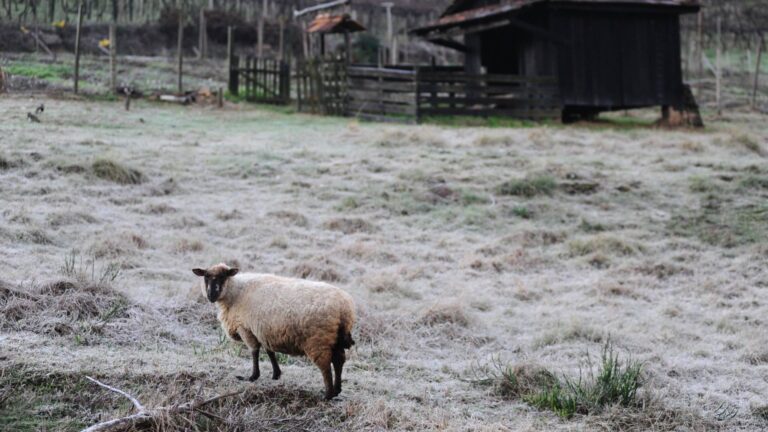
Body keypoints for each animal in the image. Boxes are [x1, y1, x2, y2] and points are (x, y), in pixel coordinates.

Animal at [195, 262, 356, 400]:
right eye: (206, 277)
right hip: (335, 338)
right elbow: (270, 352)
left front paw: (253, 376)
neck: (235, 292)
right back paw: (337, 390)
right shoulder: (264, 331)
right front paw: (276, 374)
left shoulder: (246, 328)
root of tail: (344, 307)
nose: (211, 295)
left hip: (318, 340)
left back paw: (327, 395)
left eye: (223, 276)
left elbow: (254, 352)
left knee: (326, 366)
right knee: (339, 361)